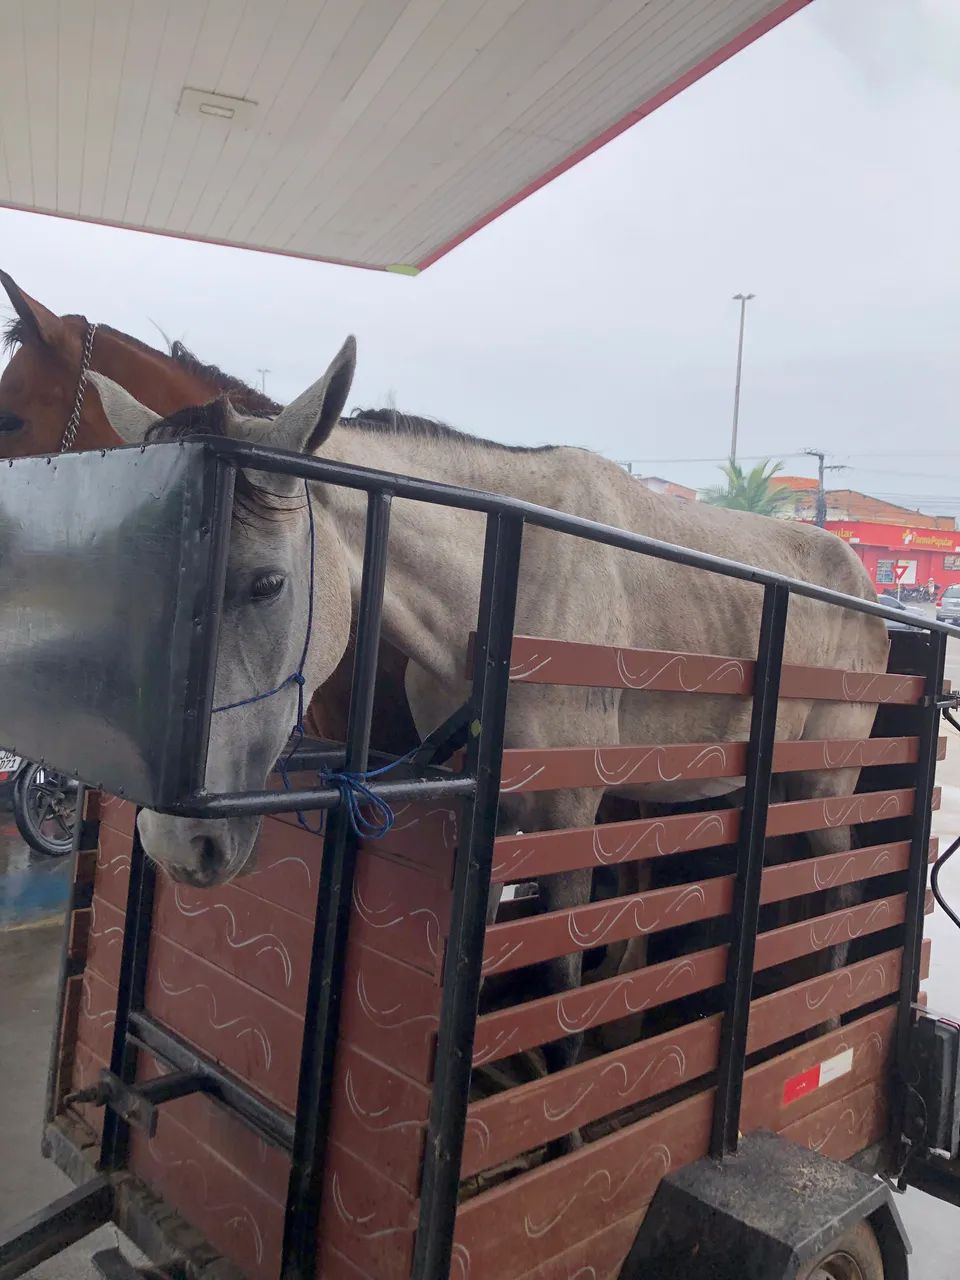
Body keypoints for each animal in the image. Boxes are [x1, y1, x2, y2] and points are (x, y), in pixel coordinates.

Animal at [89, 342, 890, 1078]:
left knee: (842, 889)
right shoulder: (493, 807)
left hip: (824, 783)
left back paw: (825, 1027)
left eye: (268, 584)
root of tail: (867, 587)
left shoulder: (569, 814)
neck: (506, 593)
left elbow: (560, 998)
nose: (174, 842)